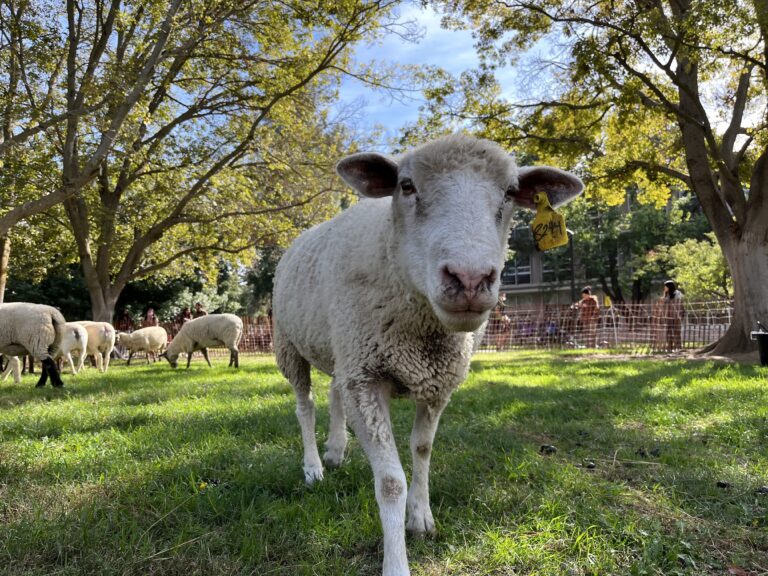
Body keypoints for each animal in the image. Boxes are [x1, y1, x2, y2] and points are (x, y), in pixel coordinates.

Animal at [274, 135, 584, 576]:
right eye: (406, 185)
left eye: (510, 192)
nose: (470, 279)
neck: (422, 330)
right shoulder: (367, 378)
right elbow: (390, 482)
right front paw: (396, 563)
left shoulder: (435, 382)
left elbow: (422, 450)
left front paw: (421, 518)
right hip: (289, 345)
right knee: (306, 406)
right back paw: (314, 467)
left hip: (341, 345)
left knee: (334, 391)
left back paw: (335, 450)